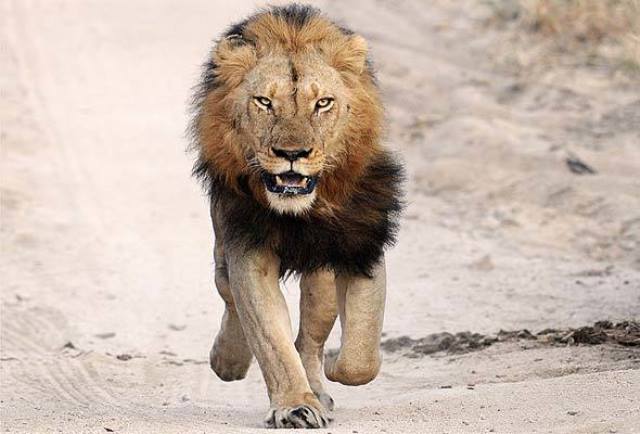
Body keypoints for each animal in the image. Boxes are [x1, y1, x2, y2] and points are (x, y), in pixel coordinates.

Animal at [190, 4, 403, 429]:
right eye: (263, 102)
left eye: (323, 103)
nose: (293, 153)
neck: (302, 212)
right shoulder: (247, 251)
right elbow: (271, 340)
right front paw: (294, 406)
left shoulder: (362, 244)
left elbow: (362, 355)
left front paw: (335, 370)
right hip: (222, 252)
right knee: (231, 298)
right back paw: (228, 360)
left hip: (321, 281)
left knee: (309, 339)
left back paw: (319, 386)